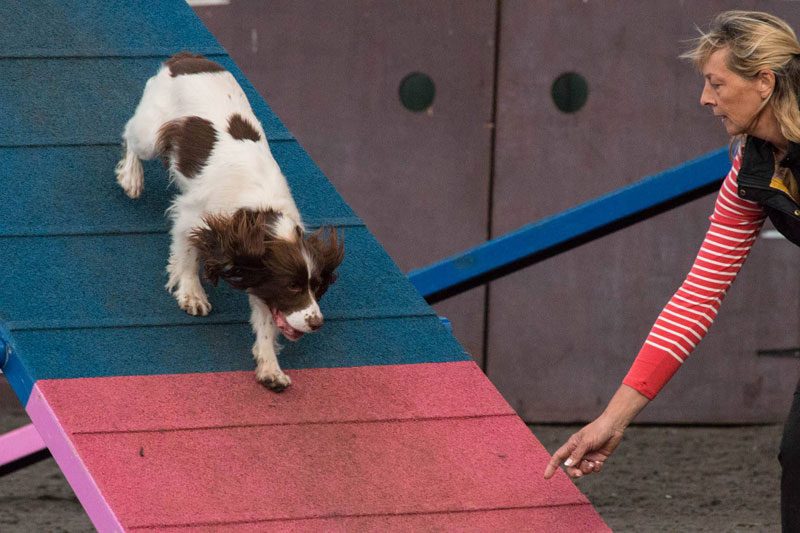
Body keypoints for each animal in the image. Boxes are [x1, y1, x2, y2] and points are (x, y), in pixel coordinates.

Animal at [115, 52, 344, 388]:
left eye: (316, 286)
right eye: (292, 287)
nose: (317, 323)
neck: (258, 215)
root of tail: (188, 58)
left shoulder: (258, 269)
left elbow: (265, 318)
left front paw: (270, 368)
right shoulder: (191, 216)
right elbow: (186, 256)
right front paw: (192, 294)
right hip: (151, 133)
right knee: (131, 136)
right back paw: (131, 177)